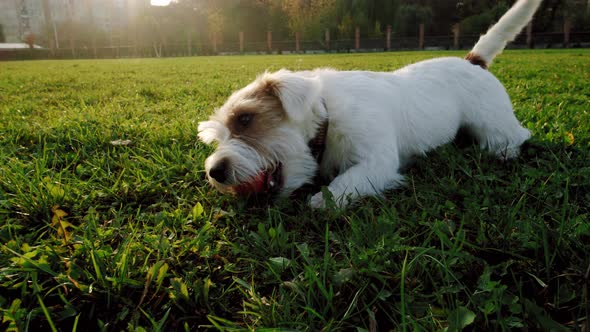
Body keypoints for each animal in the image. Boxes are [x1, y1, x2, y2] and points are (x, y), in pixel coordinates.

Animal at [201, 0, 544, 208]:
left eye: (245, 119)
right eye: (216, 139)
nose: (215, 171)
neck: (328, 117)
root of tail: (472, 60)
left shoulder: (376, 162)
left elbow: (346, 181)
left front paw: (323, 200)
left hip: (492, 121)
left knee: (517, 134)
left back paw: (505, 151)